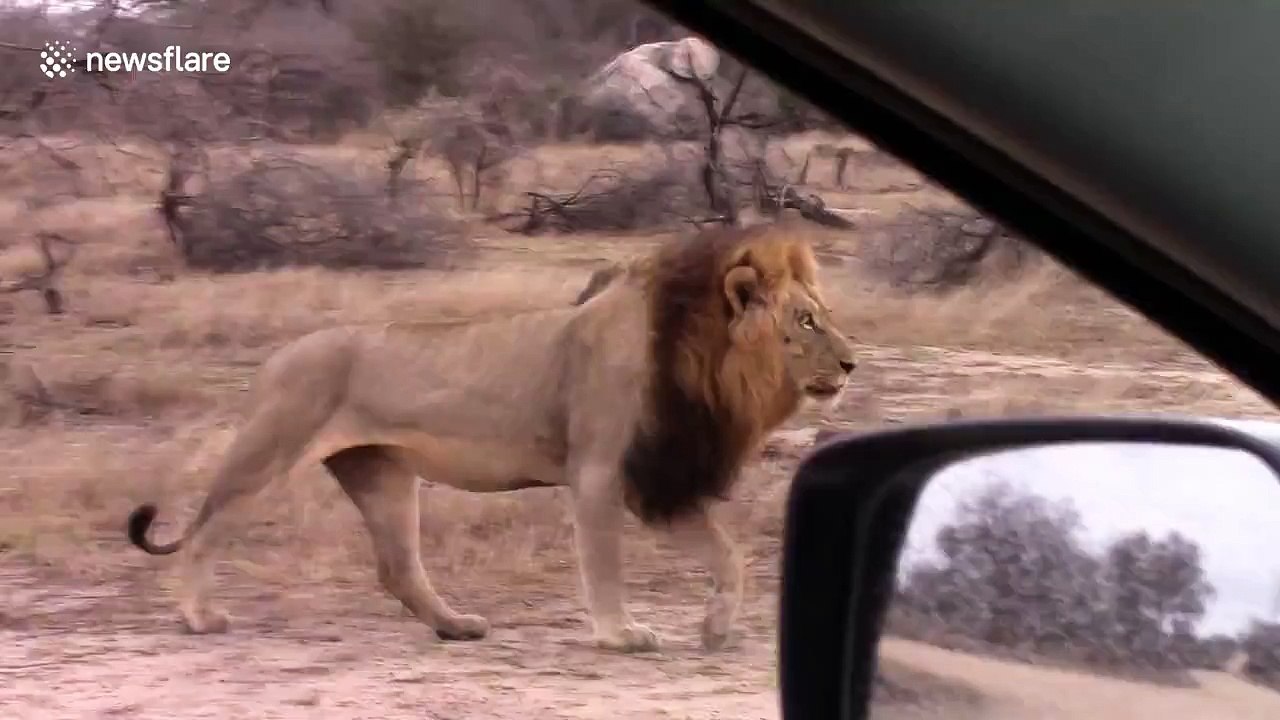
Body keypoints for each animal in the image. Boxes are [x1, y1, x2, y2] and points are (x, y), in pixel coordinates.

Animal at [125, 223, 859, 653]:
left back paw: (456, 626)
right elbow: (605, 565)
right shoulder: (599, 473)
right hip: (270, 452)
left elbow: (729, 555)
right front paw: (621, 634)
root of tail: (276, 357)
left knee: (397, 566)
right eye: (806, 321)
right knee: (206, 531)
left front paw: (716, 628)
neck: (705, 362)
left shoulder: (654, 478)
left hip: (381, 473)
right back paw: (199, 617)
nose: (853, 364)